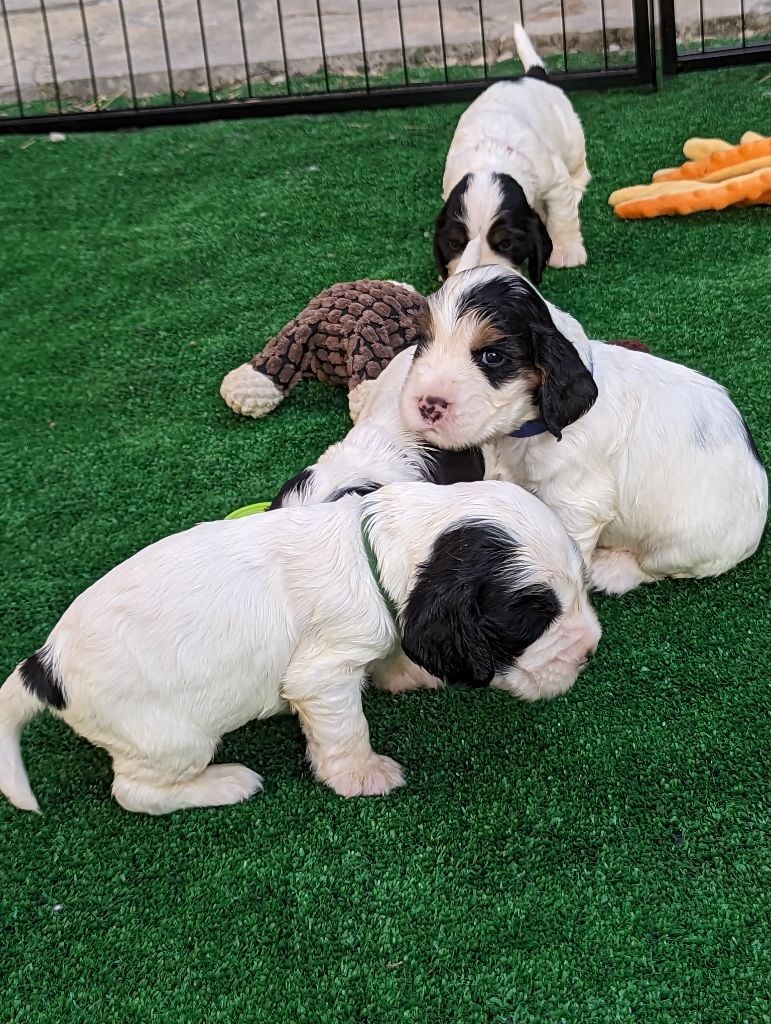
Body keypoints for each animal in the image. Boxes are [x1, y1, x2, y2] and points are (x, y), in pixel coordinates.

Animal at [0, 481, 597, 815]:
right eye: (531, 620)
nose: (591, 650)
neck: (369, 549)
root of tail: (43, 668)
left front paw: (406, 673)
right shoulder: (323, 675)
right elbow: (346, 729)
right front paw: (363, 777)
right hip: (169, 736)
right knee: (134, 792)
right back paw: (226, 783)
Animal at [399, 264, 765, 598]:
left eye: (492, 356)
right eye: (423, 342)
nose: (427, 405)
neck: (529, 430)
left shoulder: (576, 501)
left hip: (681, 545)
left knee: (655, 567)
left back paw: (613, 571)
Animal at [434, 22, 589, 284]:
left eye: (506, 243)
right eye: (455, 244)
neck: (490, 159)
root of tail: (530, 76)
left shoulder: (553, 178)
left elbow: (562, 215)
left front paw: (567, 252)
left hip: (571, 139)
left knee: (579, 169)